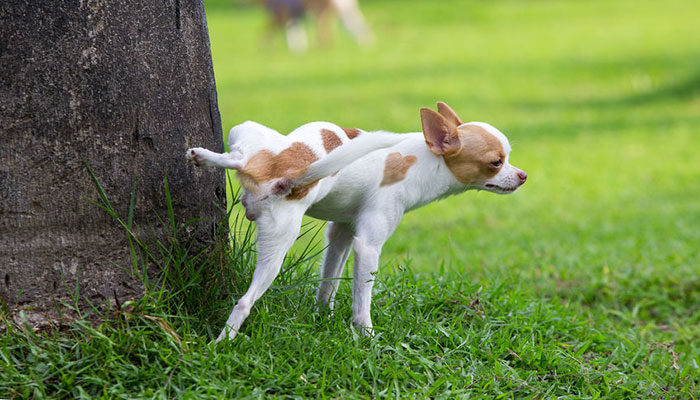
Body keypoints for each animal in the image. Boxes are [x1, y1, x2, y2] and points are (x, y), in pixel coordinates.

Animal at [186, 102, 524, 340]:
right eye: (496, 162)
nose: (523, 175)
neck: (423, 160)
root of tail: (289, 174)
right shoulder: (368, 247)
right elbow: (362, 301)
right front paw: (367, 337)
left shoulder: (341, 234)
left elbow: (329, 282)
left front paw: (322, 316)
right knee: (244, 301)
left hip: (255, 159)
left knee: (240, 158)